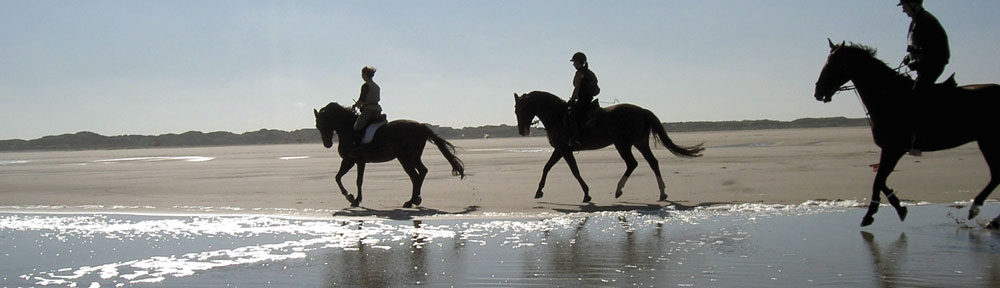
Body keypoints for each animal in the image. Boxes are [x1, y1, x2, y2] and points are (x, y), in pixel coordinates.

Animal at [314, 102, 466, 208]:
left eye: (323, 123)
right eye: (317, 126)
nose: (327, 144)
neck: (348, 128)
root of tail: (420, 126)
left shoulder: (351, 160)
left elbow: (343, 178)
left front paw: (351, 198)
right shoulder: (357, 161)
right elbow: (350, 179)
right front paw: (355, 199)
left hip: (404, 158)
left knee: (414, 176)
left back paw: (410, 201)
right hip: (414, 157)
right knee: (422, 171)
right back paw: (416, 199)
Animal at [516, 91, 704, 202]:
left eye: (521, 109)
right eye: (516, 110)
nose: (522, 131)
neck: (557, 115)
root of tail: (642, 110)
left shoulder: (564, 149)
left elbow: (573, 171)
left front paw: (586, 194)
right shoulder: (560, 150)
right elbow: (547, 167)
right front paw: (539, 191)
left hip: (623, 144)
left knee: (632, 163)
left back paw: (619, 190)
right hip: (640, 143)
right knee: (652, 162)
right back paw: (662, 192)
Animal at [812, 40, 1000, 228]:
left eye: (831, 65)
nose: (818, 92)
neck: (890, 97)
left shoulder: (894, 149)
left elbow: (878, 181)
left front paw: (870, 214)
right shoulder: (890, 150)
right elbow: (881, 180)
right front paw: (899, 207)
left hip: (989, 141)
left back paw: (977, 209)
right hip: (987, 141)